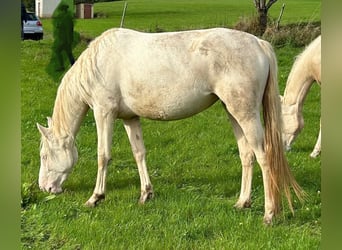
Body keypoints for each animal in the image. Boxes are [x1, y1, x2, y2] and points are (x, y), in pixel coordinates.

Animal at [36, 27, 302, 225]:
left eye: (44, 156)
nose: (45, 187)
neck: (98, 63)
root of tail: (258, 43)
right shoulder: (130, 118)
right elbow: (139, 153)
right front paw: (146, 194)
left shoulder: (104, 113)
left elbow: (103, 155)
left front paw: (96, 197)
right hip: (233, 112)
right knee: (246, 154)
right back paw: (242, 202)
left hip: (245, 114)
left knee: (263, 156)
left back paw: (269, 213)